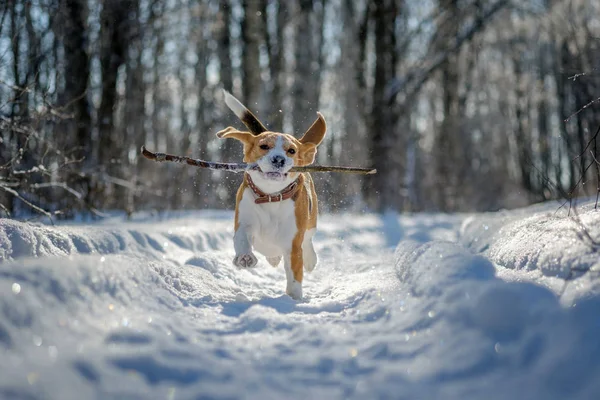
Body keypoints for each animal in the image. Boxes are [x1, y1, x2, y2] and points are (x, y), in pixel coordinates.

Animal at [217, 91, 326, 300]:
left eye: (291, 151)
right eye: (264, 146)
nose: (278, 159)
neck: (270, 197)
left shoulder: (292, 244)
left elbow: (295, 274)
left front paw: (294, 298)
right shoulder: (245, 221)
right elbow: (242, 238)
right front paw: (244, 257)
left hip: (312, 219)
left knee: (308, 240)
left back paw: (310, 259)